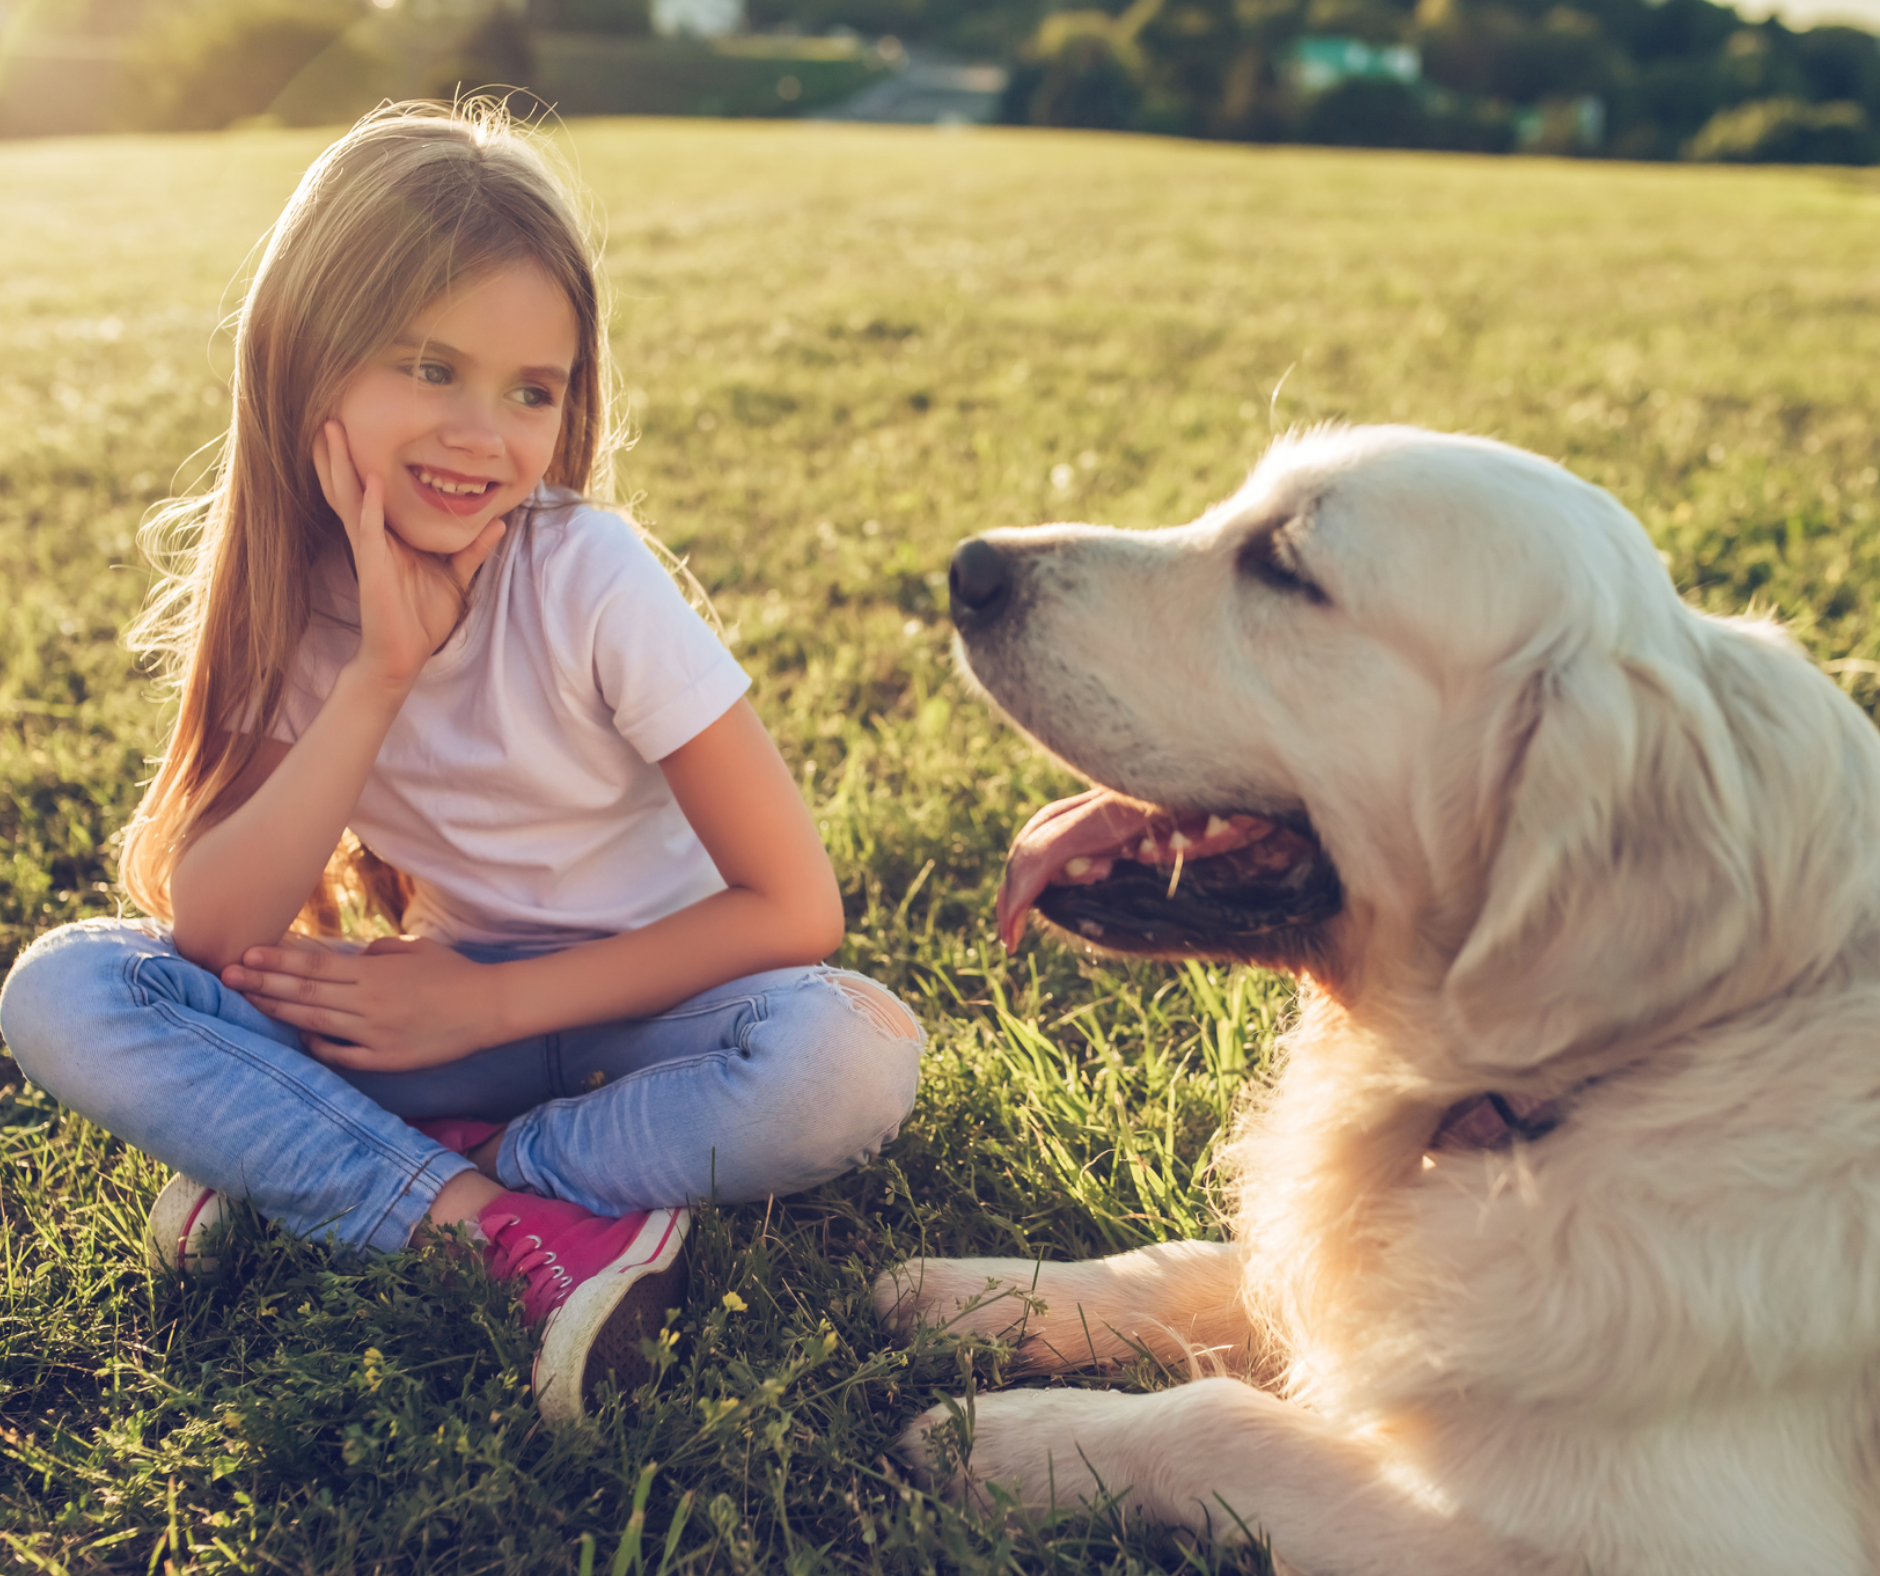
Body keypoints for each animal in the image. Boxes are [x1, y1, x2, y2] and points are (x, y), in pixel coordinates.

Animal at [872, 428, 1880, 1576]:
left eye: (1284, 568)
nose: (967, 568)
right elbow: (1195, 1265)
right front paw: (980, 1295)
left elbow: (1220, 1418)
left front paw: (1002, 1439)